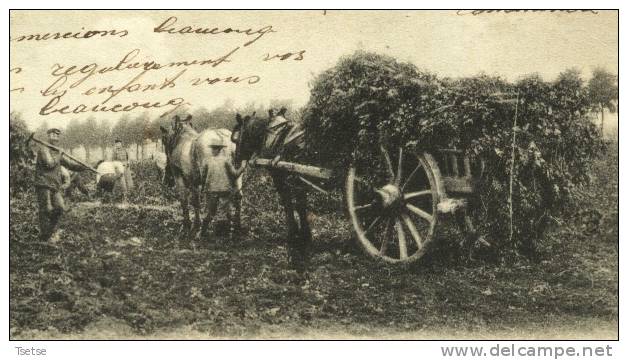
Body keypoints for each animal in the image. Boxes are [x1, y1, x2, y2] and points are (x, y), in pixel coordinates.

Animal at [231, 108, 312, 272]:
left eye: (236, 140)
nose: (236, 160)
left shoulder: (280, 176)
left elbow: (289, 203)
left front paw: (294, 234)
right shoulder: (298, 178)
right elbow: (300, 204)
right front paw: (304, 235)